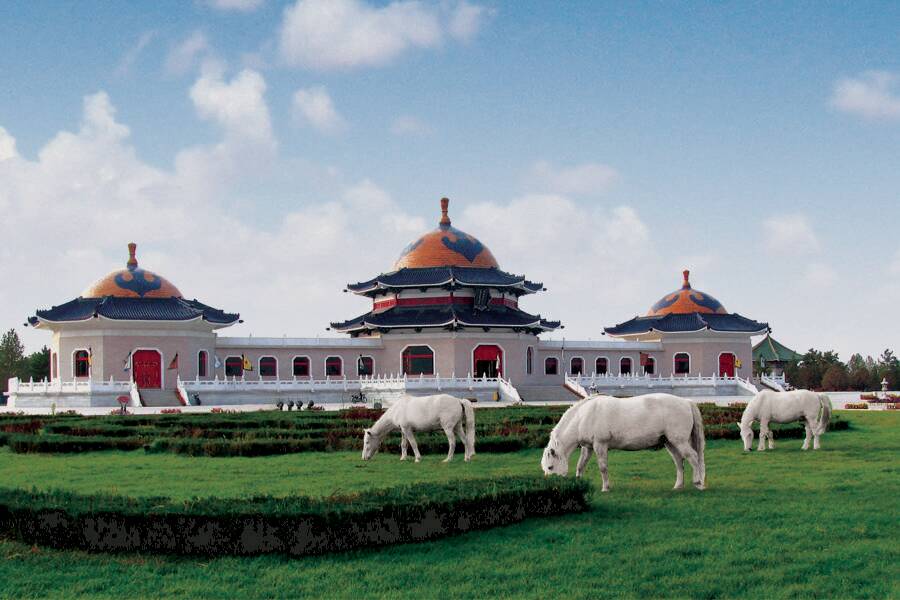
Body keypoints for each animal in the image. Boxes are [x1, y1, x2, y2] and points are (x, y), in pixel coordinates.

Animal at [536, 394, 708, 492]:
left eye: (550, 467)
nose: (553, 488)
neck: (584, 416)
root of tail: (687, 402)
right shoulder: (588, 447)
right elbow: (581, 465)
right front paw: (579, 483)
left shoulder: (600, 445)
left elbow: (603, 467)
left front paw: (605, 488)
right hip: (670, 443)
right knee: (679, 461)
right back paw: (678, 485)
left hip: (679, 441)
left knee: (693, 457)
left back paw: (698, 483)